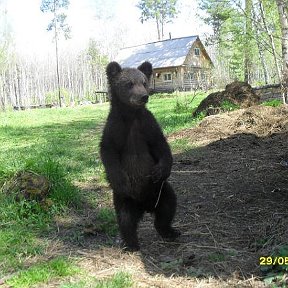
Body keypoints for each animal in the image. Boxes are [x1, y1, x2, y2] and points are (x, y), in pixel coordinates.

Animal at [100, 60, 179, 250]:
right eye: (129, 83)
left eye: (144, 82)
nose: (143, 96)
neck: (131, 116)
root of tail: (145, 206)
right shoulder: (115, 128)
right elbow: (108, 152)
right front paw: (121, 179)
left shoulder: (147, 126)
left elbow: (161, 145)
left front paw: (160, 170)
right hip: (125, 200)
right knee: (125, 219)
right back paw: (131, 243)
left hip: (161, 191)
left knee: (168, 206)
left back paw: (169, 231)